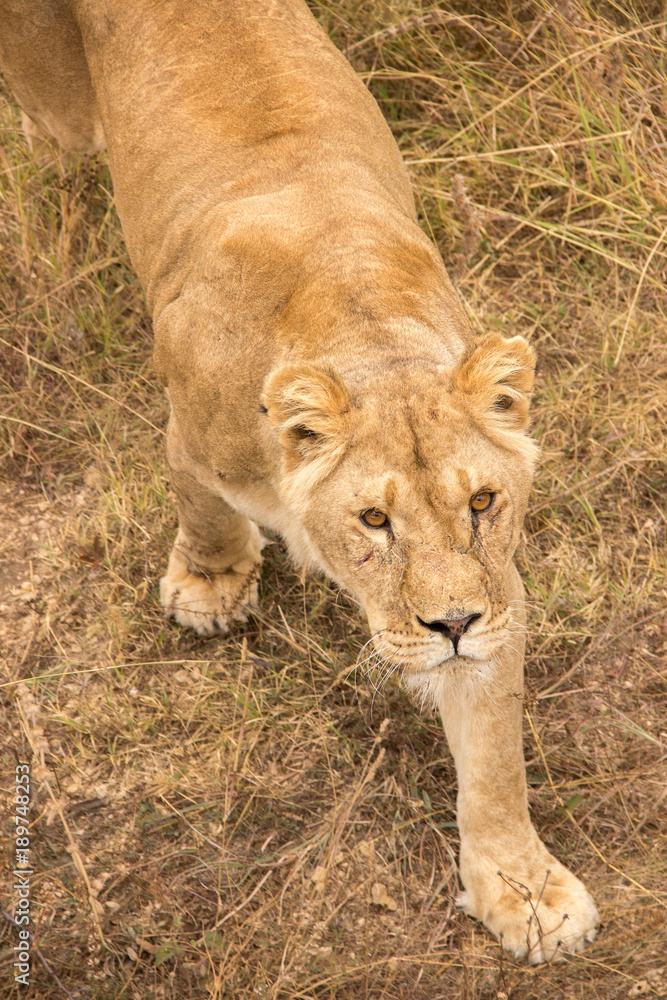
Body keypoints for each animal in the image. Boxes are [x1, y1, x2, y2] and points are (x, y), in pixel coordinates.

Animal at [0, 0, 599, 963]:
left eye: (481, 502)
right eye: (373, 520)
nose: (452, 625)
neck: (363, 327)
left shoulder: (496, 594)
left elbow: (493, 765)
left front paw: (525, 891)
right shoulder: (190, 439)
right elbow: (203, 511)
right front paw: (210, 587)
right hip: (52, 103)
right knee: (47, 140)